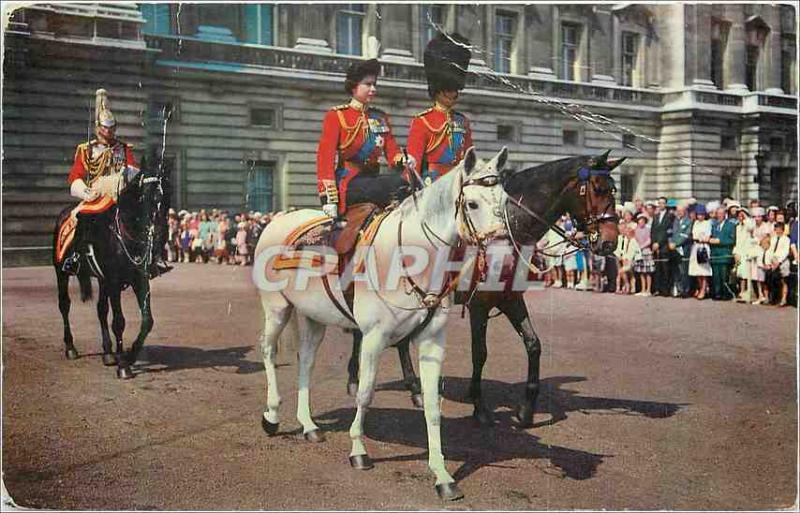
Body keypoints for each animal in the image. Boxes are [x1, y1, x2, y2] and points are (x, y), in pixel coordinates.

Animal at [53, 162, 169, 378]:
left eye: (167, 194)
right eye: (143, 195)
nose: (159, 235)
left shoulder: (139, 280)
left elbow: (147, 320)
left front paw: (130, 356)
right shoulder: (114, 282)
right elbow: (119, 322)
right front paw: (123, 365)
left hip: (102, 280)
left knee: (101, 309)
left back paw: (107, 353)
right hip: (61, 272)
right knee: (64, 305)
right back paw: (71, 348)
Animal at [253, 146, 510, 498]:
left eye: (506, 200)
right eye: (472, 203)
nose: (503, 260)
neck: (412, 257)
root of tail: (278, 219)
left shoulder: (432, 341)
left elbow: (433, 406)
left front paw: (442, 475)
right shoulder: (374, 337)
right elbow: (365, 392)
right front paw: (358, 451)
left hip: (315, 317)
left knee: (305, 362)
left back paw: (309, 425)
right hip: (277, 308)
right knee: (268, 352)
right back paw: (272, 415)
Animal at [346, 150, 620, 426]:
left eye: (614, 189)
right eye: (599, 189)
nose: (610, 242)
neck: (511, 230)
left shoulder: (510, 299)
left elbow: (533, 345)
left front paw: (526, 410)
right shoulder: (479, 304)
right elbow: (480, 353)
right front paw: (479, 406)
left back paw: (413, 389)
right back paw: (357, 380)